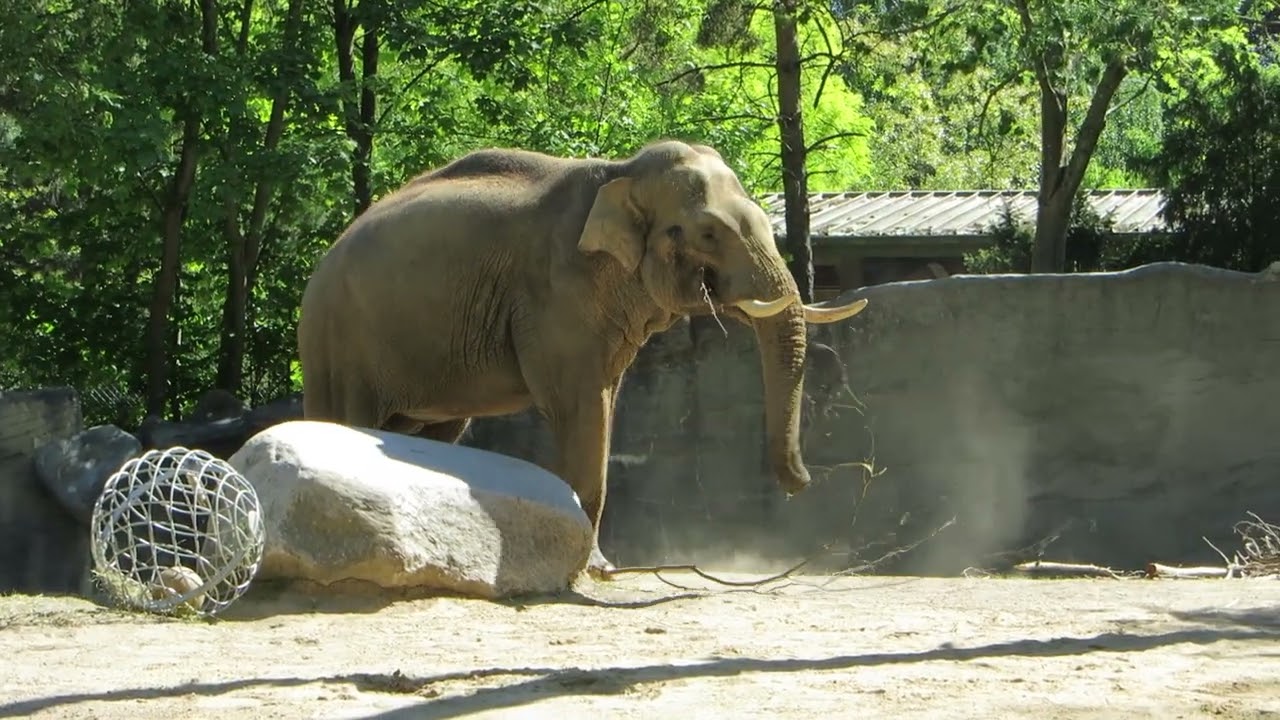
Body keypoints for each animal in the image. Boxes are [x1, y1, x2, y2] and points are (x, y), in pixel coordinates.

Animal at [296, 139, 868, 578]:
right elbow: (580, 409)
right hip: (337, 341)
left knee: (433, 433)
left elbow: (604, 405)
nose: (802, 485)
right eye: (708, 233)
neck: (622, 172)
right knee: (347, 418)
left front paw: (597, 565)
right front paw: (592, 570)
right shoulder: (556, 294)